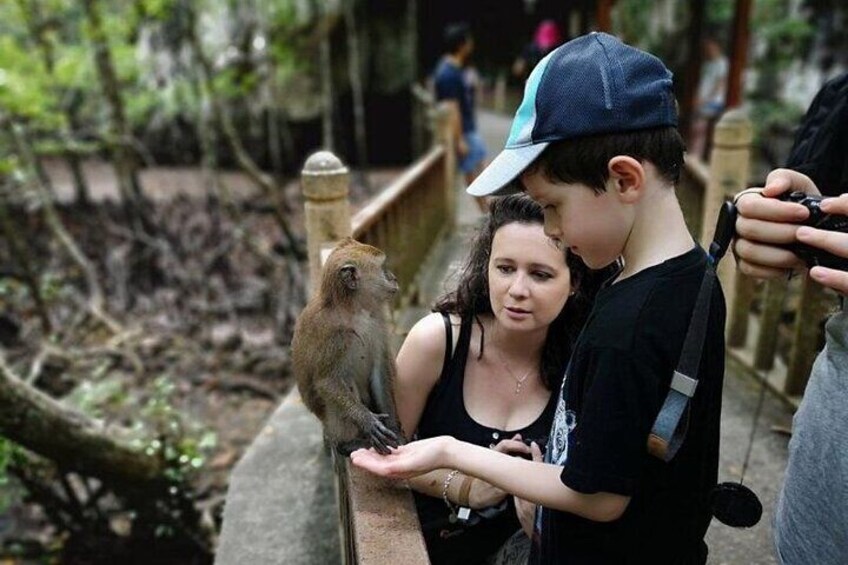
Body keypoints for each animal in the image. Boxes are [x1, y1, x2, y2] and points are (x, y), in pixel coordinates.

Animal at [292, 237, 404, 454]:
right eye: (383, 268)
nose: (394, 278)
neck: (353, 310)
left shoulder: (377, 318)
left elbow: (380, 370)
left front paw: (394, 427)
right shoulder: (332, 334)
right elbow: (327, 381)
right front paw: (367, 421)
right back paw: (349, 443)